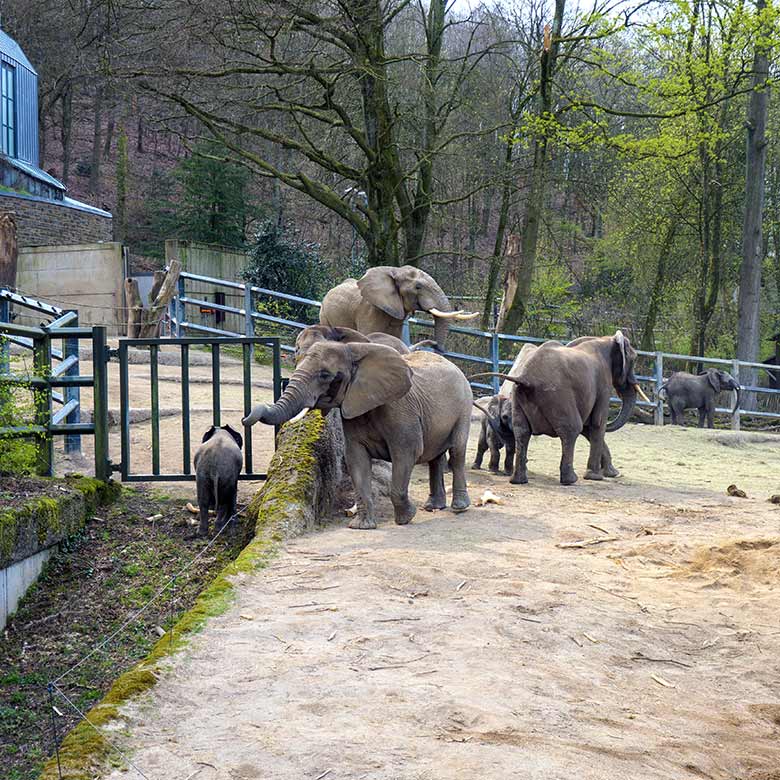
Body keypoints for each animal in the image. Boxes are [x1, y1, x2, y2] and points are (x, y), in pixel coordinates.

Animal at [244, 342, 470, 532]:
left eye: (325, 375)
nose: (245, 419)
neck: (352, 350)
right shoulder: (352, 411)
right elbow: (356, 459)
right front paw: (362, 526)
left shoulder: (401, 410)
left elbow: (407, 453)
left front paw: (406, 518)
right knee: (436, 457)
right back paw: (433, 506)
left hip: (464, 406)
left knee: (456, 452)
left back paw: (459, 507)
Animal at [472, 330, 648, 488]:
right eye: (634, 359)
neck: (606, 339)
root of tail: (525, 378)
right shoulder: (603, 383)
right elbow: (597, 423)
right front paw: (596, 477)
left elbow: (589, 426)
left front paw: (612, 474)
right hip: (559, 394)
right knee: (572, 429)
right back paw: (571, 480)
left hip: (518, 395)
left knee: (521, 431)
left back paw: (518, 481)